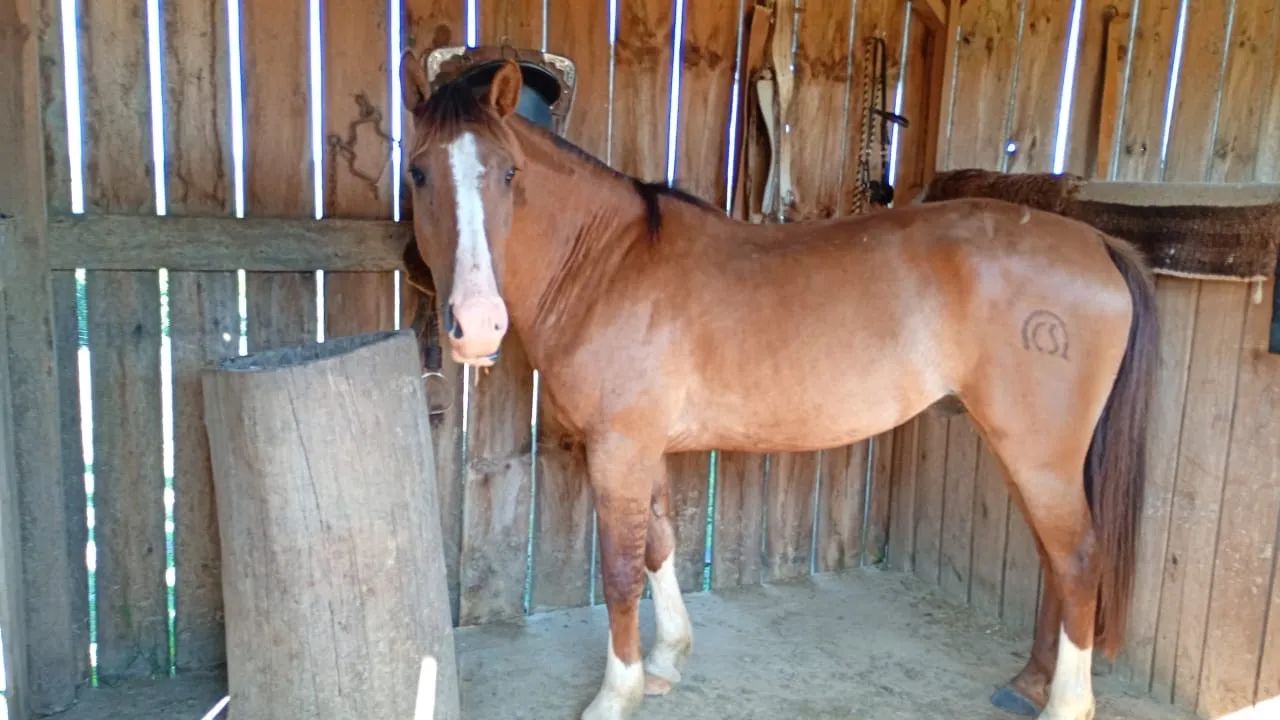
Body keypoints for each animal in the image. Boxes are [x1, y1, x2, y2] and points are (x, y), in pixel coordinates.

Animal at [397, 54, 1157, 720]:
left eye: (508, 173)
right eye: (418, 172)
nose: (476, 325)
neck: (610, 263)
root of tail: (1096, 243)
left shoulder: (618, 449)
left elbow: (619, 569)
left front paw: (618, 693)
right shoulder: (645, 450)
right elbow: (659, 545)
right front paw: (667, 661)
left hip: (1038, 454)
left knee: (1077, 560)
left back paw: (1064, 703)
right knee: (1058, 562)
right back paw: (1029, 683)